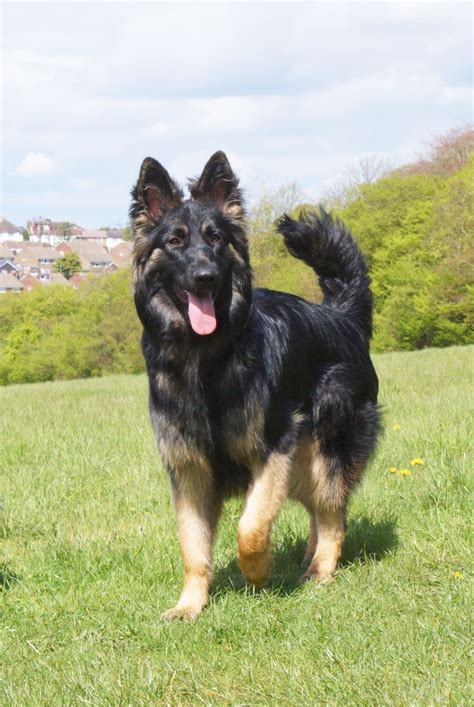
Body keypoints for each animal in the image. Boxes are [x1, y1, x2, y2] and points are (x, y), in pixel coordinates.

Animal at [131, 153, 382, 620]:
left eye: (215, 239)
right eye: (174, 241)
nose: (205, 277)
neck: (204, 360)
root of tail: (340, 316)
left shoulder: (272, 447)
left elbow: (250, 526)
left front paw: (259, 572)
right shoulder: (188, 468)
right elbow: (192, 547)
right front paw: (189, 606)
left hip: (325, 448)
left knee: (332, 513)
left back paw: (320, 571)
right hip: (304, 465)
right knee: (319, 511)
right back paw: (308, 557)